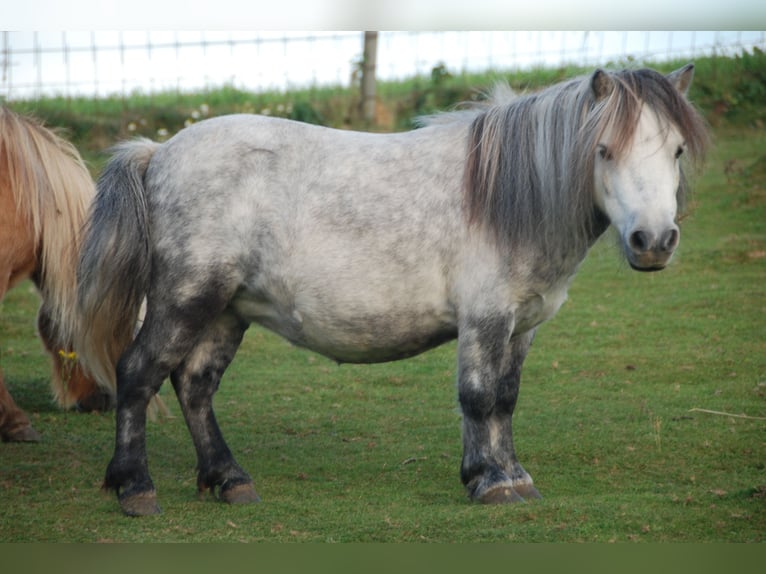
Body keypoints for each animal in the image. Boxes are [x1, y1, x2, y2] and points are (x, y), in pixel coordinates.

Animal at [71, 65, 709, 515]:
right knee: (138, 374)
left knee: (195, 385)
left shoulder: (520, 326)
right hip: (186, 300)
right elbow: (478, 397)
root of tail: (158, 152)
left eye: (676, 151)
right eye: (604, 150)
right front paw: (489, 483)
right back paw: (135, 487)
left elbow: (505, 399)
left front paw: (513, 476)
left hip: (226, 310)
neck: (505, 197)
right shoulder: (485, 319)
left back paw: (229, 480)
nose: (653, 240)